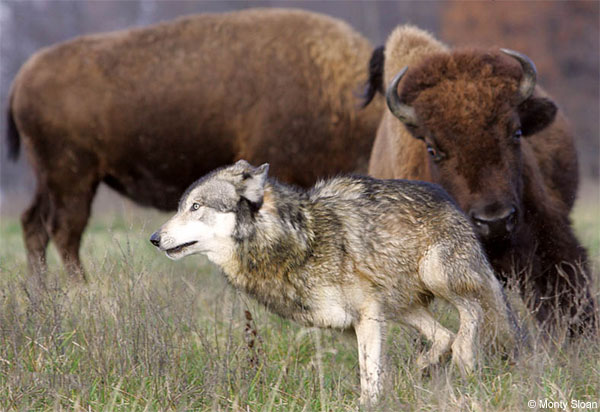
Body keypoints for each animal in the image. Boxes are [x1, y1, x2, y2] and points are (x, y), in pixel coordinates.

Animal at [5, 8, 384, 280]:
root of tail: (21, 78)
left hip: (53, 179)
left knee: (34, 224)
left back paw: (41, 291)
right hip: (72, 177)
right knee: (64, 230)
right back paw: (79, 288)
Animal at [149, 159, 516, 404]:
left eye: (196, 207)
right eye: (181, 207)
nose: (154, 238)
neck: (298, 240)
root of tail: (451, 203)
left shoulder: (367, 316)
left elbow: (369, 376)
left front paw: (370, 405)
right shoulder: (359, 321)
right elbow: (370, 370)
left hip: (434, 274)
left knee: (472, 312)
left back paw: (464, 357)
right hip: (400, 309)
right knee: (444, 335)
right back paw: (423, 365)